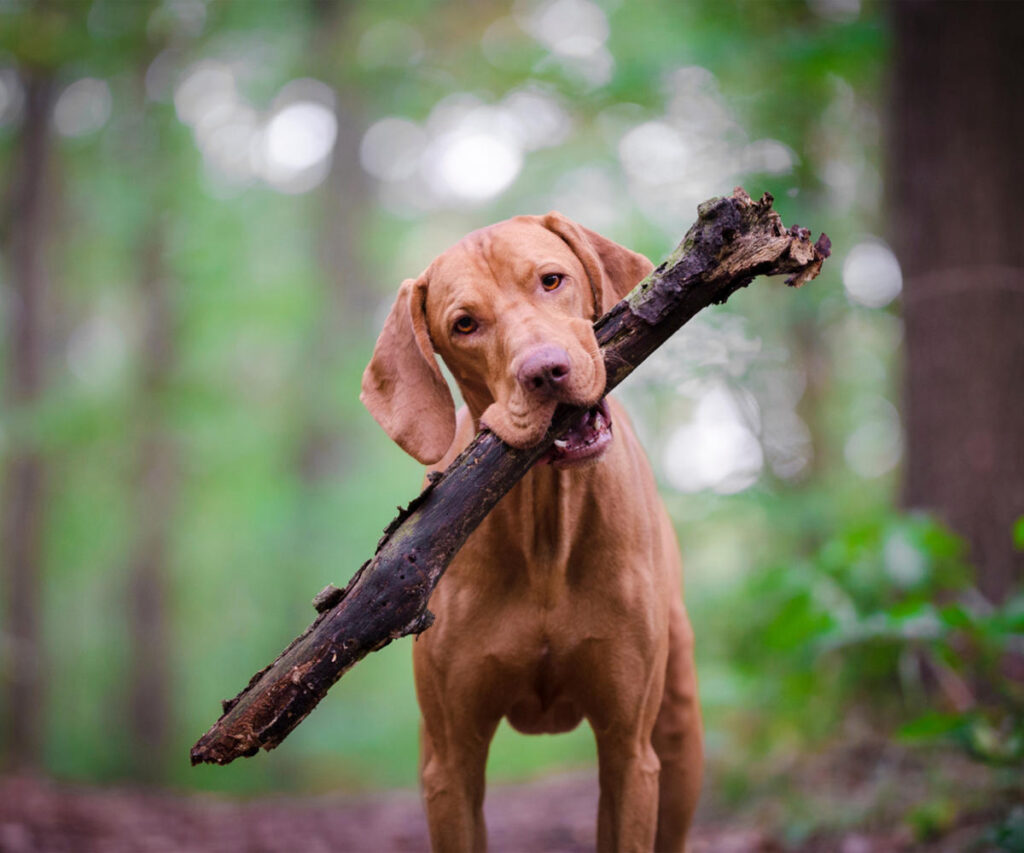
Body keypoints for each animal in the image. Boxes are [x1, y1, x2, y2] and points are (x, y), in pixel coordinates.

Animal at [360, 210, 704, 843]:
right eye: (465, 324)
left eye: (551, 280)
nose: (545, 371)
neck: (546, 527)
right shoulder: (452, 766)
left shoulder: (629, 752)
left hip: (678, 733)